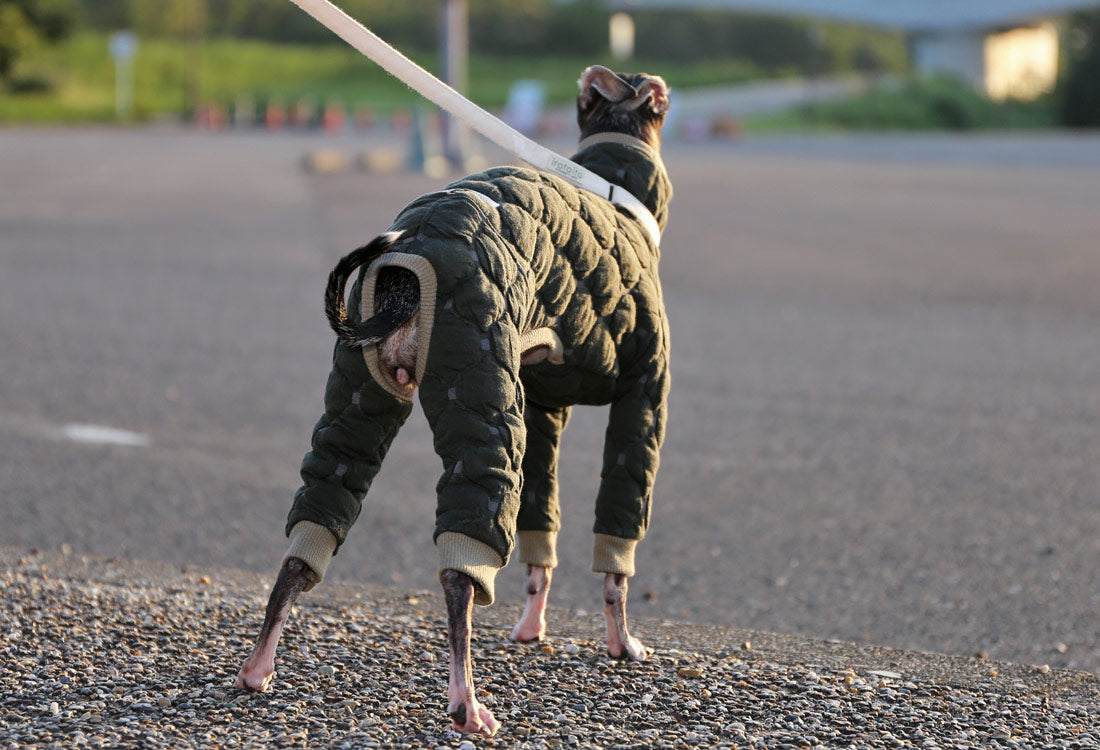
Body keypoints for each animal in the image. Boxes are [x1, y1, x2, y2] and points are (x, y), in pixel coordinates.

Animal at [236, 64, 673, 734]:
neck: (618, 191)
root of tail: (405, 259)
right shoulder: (642, 402)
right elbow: (616, 556)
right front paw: (622, 644)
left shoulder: (542, 411)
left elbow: (540, 541)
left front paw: (531, 628)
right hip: (484, 402)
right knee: (460, 578)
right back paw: (467, 701)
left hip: (362, 402)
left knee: (306, 536)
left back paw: (258, 667)